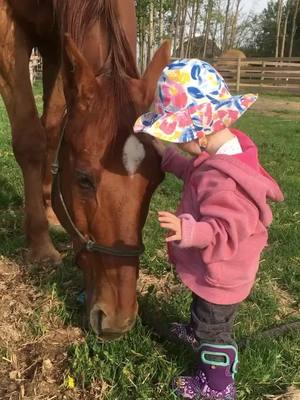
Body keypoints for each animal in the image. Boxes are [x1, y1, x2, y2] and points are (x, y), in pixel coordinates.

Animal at [0, 0, 170, 338]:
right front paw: (41, 247)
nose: (118, 320)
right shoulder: (7, 27)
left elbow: (52, 130)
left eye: (157, 180)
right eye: (83, 180)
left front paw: (51, 212)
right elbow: (31, 139)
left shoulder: (57, 46)